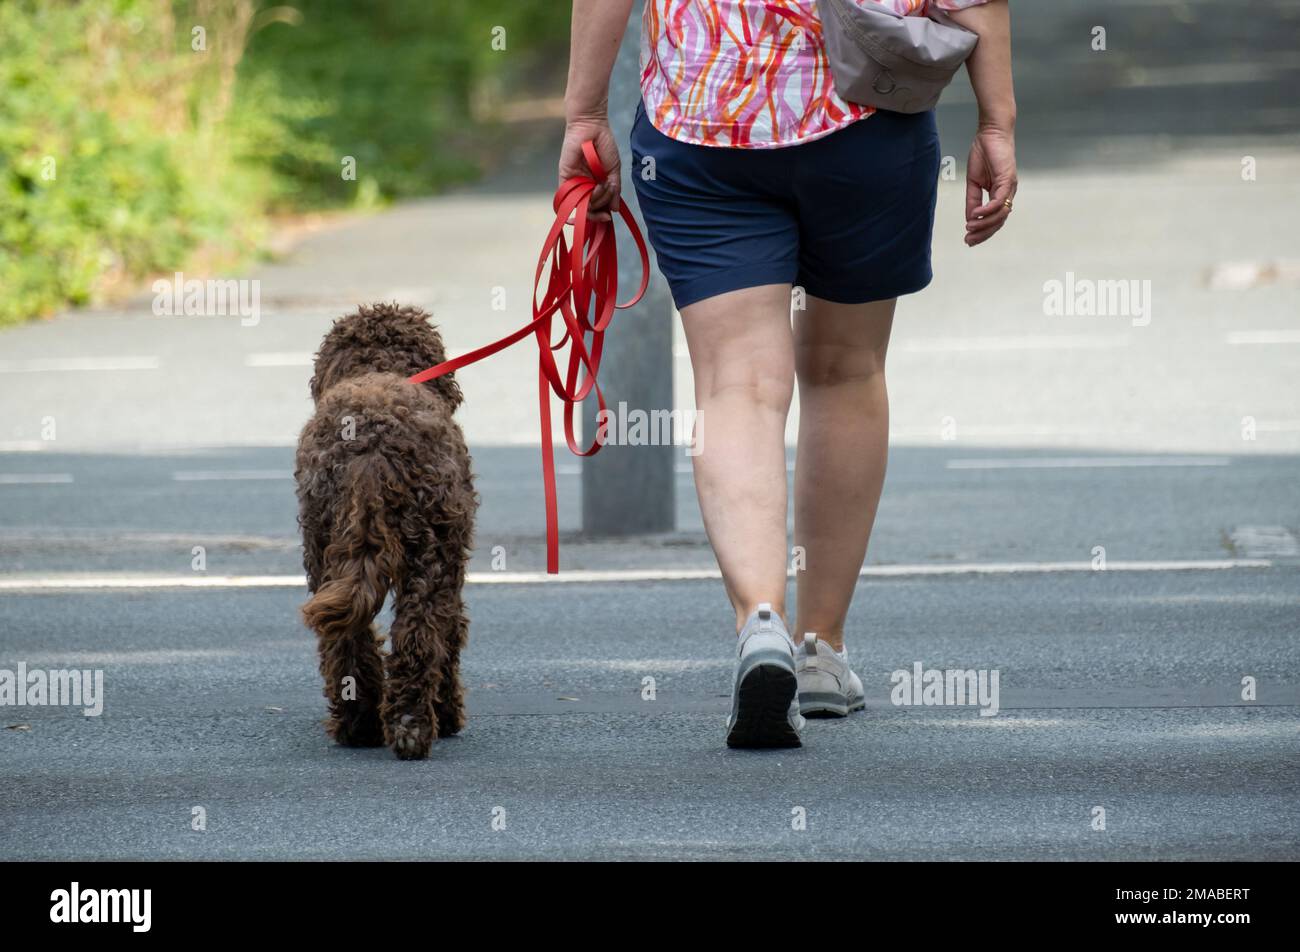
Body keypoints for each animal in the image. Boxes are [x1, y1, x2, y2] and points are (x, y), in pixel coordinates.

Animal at [295, 301, 478, 764]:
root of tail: (371, 447)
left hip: (326, 551)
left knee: (346, 640)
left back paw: (360, 725)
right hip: (433, 555)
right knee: (421, 636)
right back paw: (416, 724)